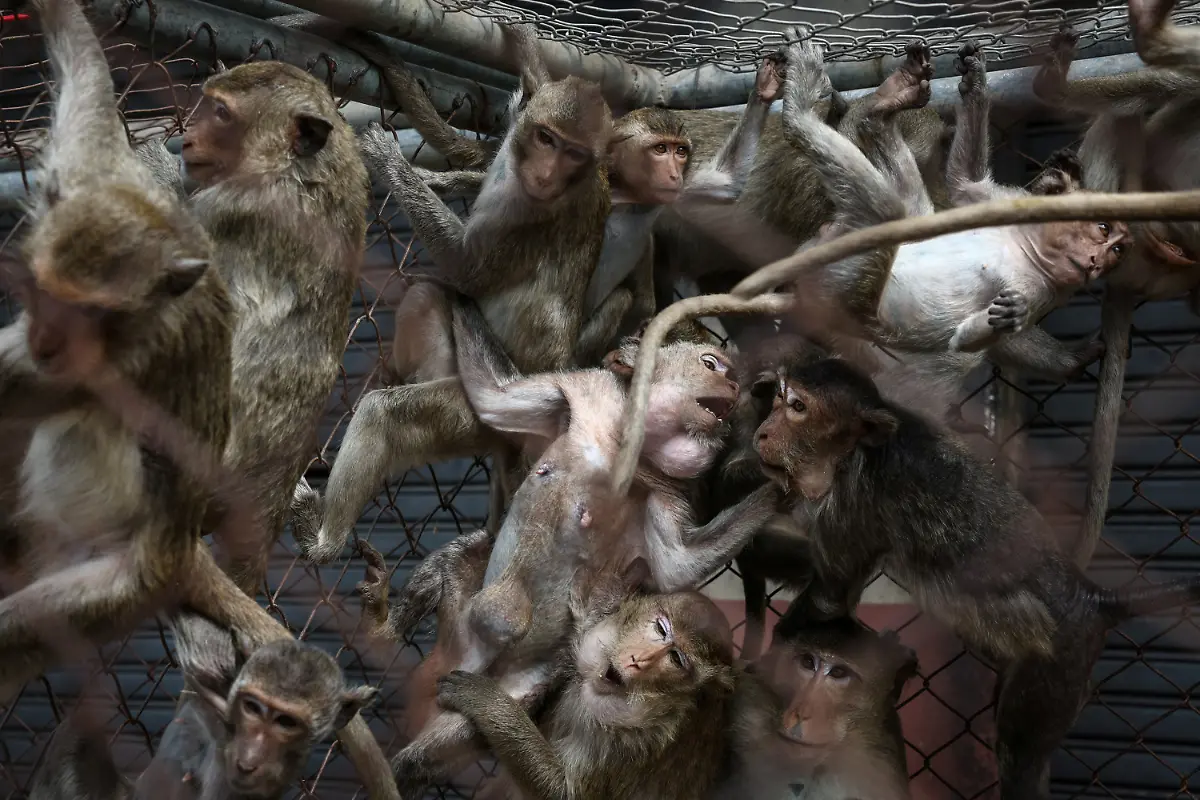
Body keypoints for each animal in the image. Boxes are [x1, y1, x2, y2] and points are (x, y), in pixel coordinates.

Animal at [0, 0, 235, 697]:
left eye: (91, 314)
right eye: (45, 294)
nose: (48, 340)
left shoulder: (123, 358)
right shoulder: (90, 173)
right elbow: (90, 89)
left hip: (119, 582)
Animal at [434, 560, 738, 800]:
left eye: (676, 659)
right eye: (661, 629)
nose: (638, 660)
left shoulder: (632, 743)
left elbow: (563, 793)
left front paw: (487, 701)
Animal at [753, 356, 1200, 800]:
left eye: (797, 406)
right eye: (778, 400)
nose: (762, 432)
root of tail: (1089, 596)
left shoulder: (853, 495)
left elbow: (831, 598)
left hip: (1057, 666)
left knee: (1020, 752)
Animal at [775, 39, 1121, 416]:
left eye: (1114, 247)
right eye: (1103, 231)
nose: (1097, 260)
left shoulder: (1041, 287)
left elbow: (972, 339)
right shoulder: (1005, 203)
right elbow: (966, 183)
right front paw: (975, 84)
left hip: (838, 289)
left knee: (884, 211)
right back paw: (881, 109)